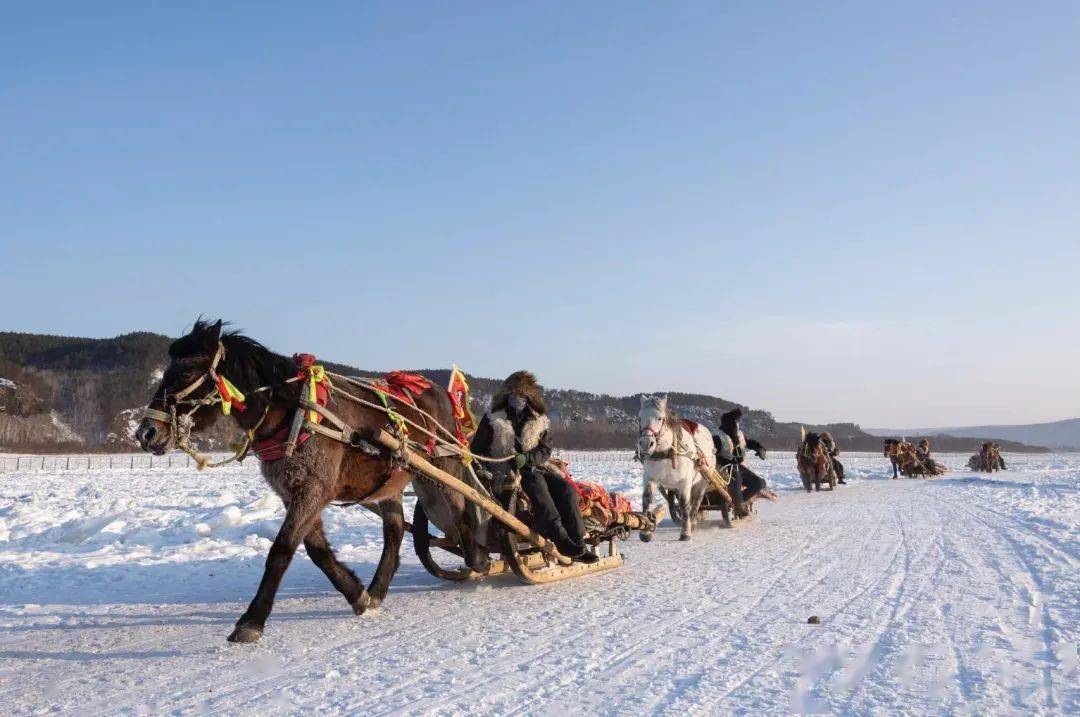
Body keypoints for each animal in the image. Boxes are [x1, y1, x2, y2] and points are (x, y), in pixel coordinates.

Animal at [137, 319, 483, 643]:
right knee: (395, 530)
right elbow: (316, 550)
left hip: (444, 464)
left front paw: (251, 621)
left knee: (462, 505)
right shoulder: (294, 492)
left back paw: (476, 557)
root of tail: (439, 392)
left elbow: (281, 550)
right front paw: (356, 594)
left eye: (185, 373)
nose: (146, 433)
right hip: (392, 478)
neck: (293, 413)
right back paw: (378, 589)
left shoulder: (314, 489)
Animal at [635, 395, 712, 539]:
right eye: (639, 417)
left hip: (703, 481)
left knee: (696, 502)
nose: (646, 444)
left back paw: (693, 521)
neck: (666, 454)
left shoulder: (685, 482)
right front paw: (645, 531)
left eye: (659, 418)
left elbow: (684, 505)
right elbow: (647, 500)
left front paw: (686, 532)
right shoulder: (649, 478)